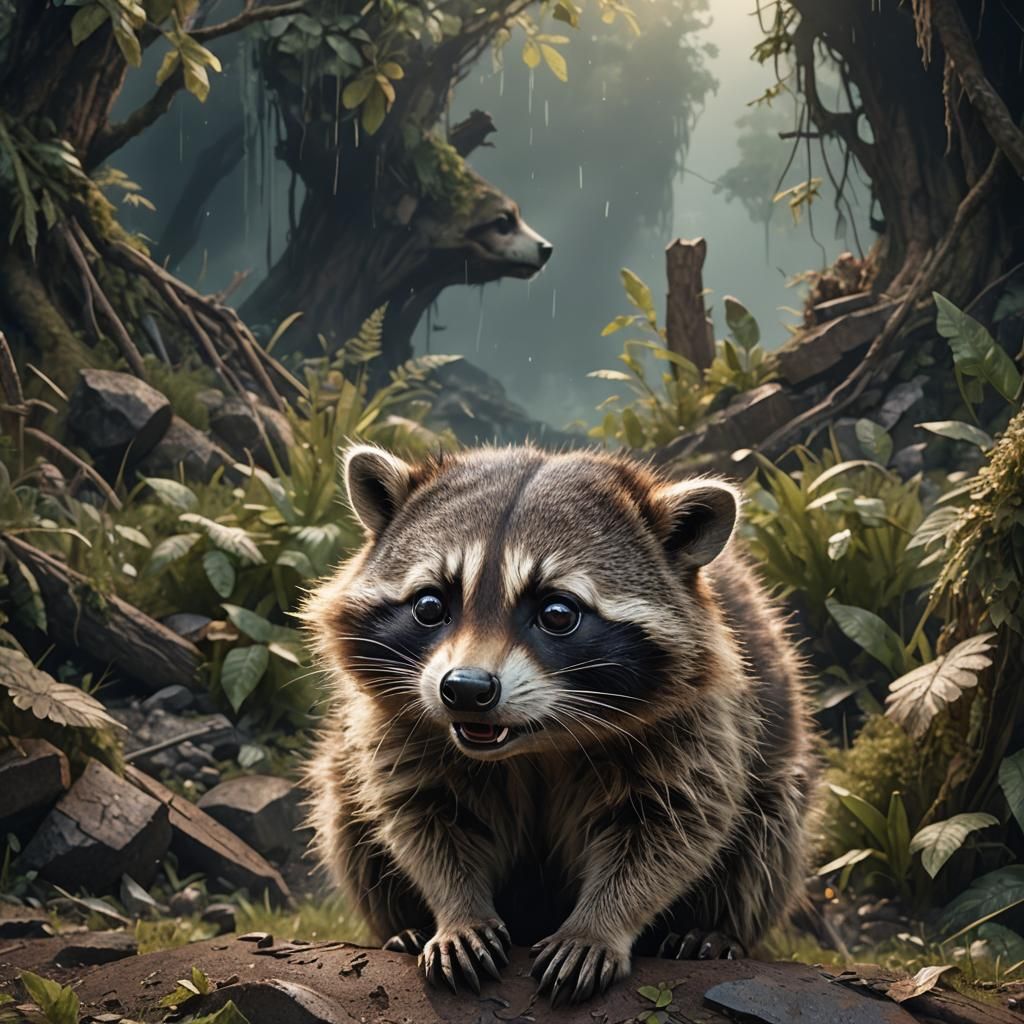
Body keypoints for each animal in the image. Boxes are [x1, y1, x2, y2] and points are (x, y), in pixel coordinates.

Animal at [304, 445, 817, 1005]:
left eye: (557, 613)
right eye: (429, 605)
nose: (466, 689)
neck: (535, 742)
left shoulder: (705, 720)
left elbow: (672, 824)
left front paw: (599, 925)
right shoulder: (400, 721)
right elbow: (425, 814)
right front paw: (457, 911)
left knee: (770, 823)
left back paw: (713, 929)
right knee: (346, 807)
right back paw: (403, 925)